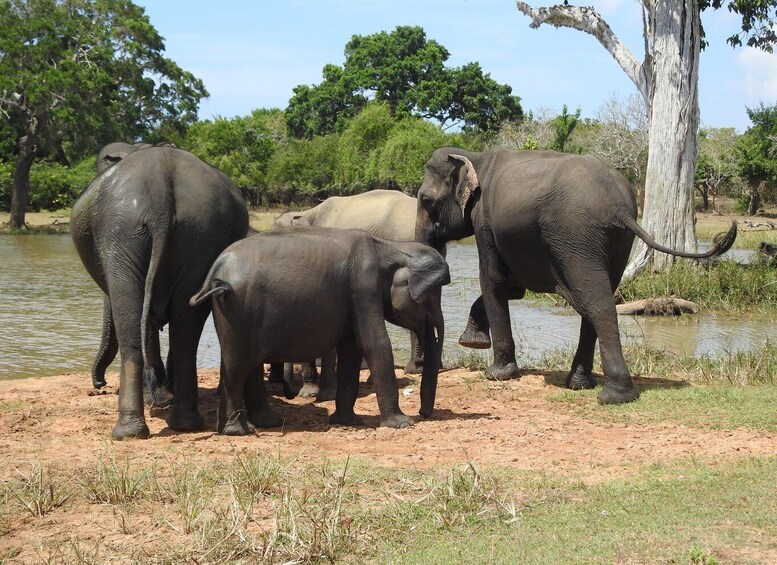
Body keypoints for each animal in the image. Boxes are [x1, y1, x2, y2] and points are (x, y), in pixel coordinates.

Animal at [71, 145, 249, 439]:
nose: (99, 384)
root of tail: (160, 201)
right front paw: (164, 395)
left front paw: (159, 396)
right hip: (201, 233)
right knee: (185, 330)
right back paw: (183, 423)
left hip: (119, 234)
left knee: (132, 327)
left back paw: (128, 431)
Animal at [189, 226, 450, 436]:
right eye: (431, 295)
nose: (424, 413)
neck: (390, 246)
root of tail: (216, 268)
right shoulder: (363, 286)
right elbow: (374, 343)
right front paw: (403, 424)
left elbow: (351, 349)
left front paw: (347, 422)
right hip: (238, 311)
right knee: (237, 367)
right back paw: (238, 431)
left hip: (233, 313)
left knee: (245, 365)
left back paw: (265, 423)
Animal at [415, 147, 737, 404]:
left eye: (425, 200)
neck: (475, 156)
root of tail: (620, 208)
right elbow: (512, 288)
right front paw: (473, 342)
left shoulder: (485, 222)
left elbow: (493, 282)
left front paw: (495, 372)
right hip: (612, 242)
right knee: (595, 298)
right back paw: (581, 384)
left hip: (574, 234)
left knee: (596, 303)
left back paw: (613, 397)